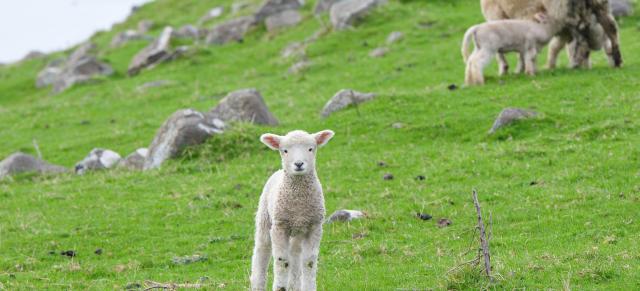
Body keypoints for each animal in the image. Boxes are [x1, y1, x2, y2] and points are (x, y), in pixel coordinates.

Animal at [251, 131, 338, 291]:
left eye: (311, 149)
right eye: (284, 150)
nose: (298, 164)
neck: (298, 204)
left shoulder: (314, 226)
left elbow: (309, 262)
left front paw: (309, 287)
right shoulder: (279, 227)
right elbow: (281, 260)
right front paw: (279, 287)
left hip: (297, 233)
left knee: (295, 256)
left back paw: (294, 285)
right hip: (265, 218)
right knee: (262, 250)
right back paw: (257, 284)